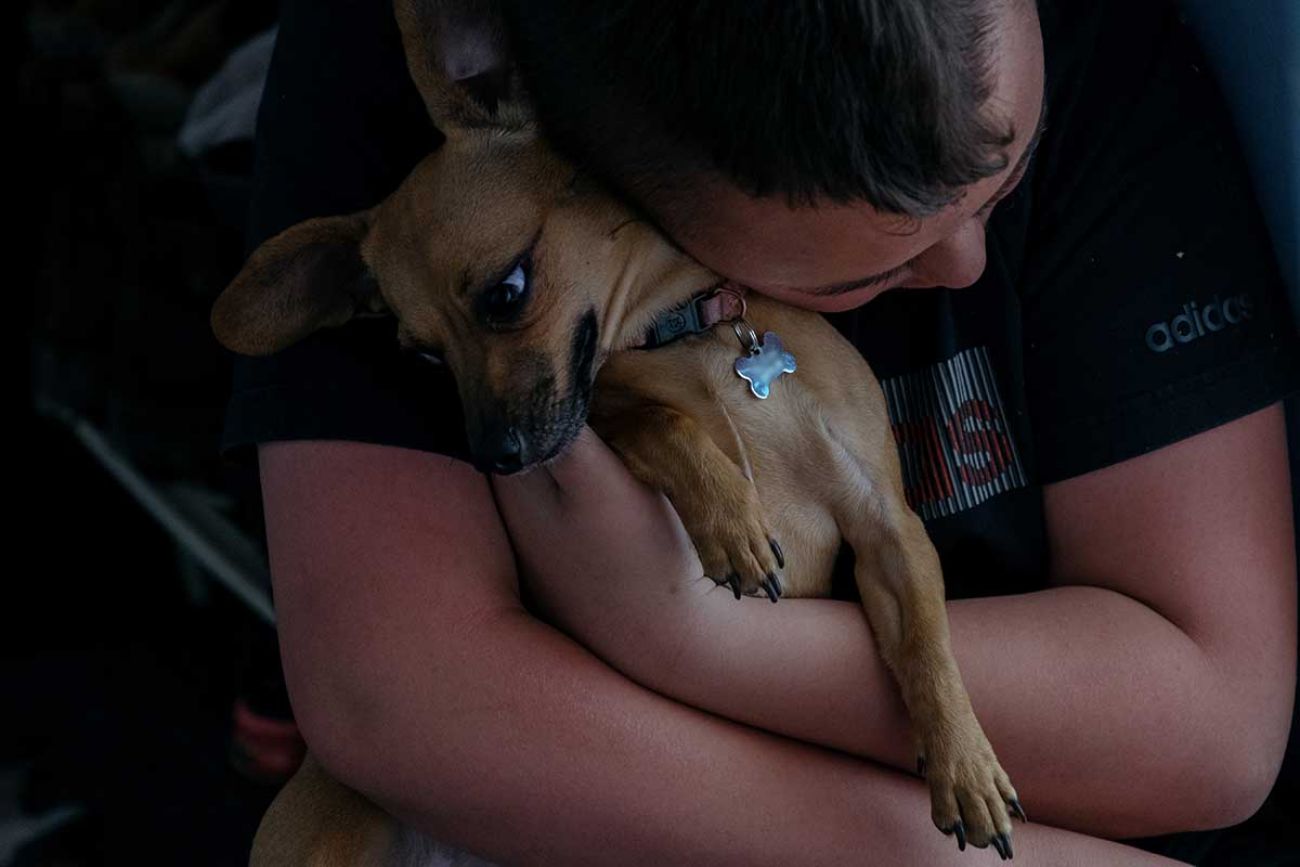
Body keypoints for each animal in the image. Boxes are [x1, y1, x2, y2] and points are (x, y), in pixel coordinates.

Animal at [215, 0, 1024, 863]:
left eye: (507, 292)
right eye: (426, 356)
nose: (495, 457)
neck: (694, 333)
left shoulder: (887, 526)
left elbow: (927, 649)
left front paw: (965, 764)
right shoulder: (601, 414)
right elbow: (663, 420)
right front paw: (730, 518)